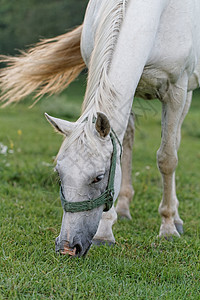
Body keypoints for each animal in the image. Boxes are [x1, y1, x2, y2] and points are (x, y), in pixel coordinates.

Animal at [0, 0, 200, 258]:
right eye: (59, 174)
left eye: (98, 177)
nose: (68, 248)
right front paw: (105, 231)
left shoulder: (176, 91)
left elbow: (167, 159)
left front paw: (167, 228)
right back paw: (123, 209)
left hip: (186, 96)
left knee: (173, 143)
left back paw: (175, 219)